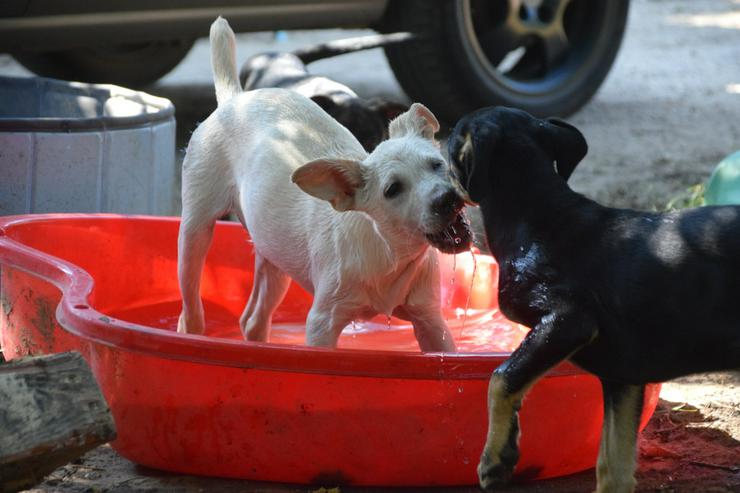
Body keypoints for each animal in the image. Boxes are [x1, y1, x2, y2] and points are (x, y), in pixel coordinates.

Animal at [446, 106, 740, 492]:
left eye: (449, 143)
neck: (538, 216)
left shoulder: (569, 320)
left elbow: (500, 378)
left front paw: (496, 458)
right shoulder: (624, 380)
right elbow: (612, 468)